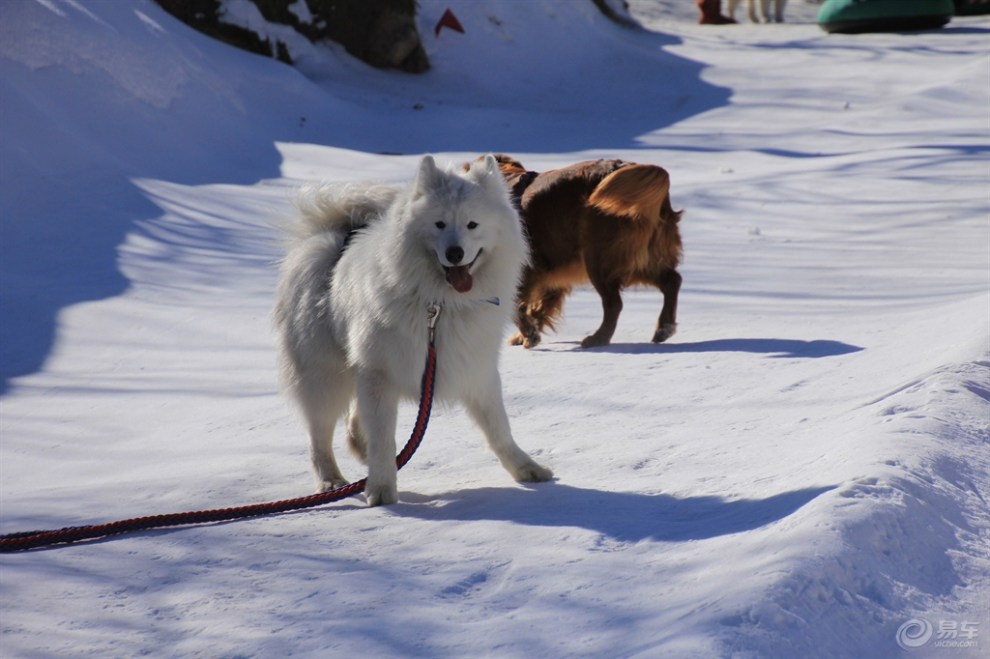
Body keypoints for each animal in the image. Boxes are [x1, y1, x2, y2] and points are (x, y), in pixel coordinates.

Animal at [276, 155, 556, 506]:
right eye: (439, 224)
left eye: (472, 225)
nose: (454, 254)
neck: (439, 303)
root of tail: (338, 235)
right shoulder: (379, 374)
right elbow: (384, 438)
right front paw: (381, 489)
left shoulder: (476, 371)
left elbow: (500, 430)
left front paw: (526, 469)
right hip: (324, 377)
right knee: (320, 436)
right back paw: (330, 481)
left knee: (353, 424)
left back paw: (359, 452)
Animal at [494, 155, 684, 350]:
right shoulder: (550, 275)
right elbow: (537, 307)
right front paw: (525, 334)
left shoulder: (526, 270)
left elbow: (517, 305)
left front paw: (528, 334)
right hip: (639, 259)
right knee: (672, 280)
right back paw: (664, 327)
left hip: (599, 258)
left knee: (614, 303)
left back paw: (599, 338)